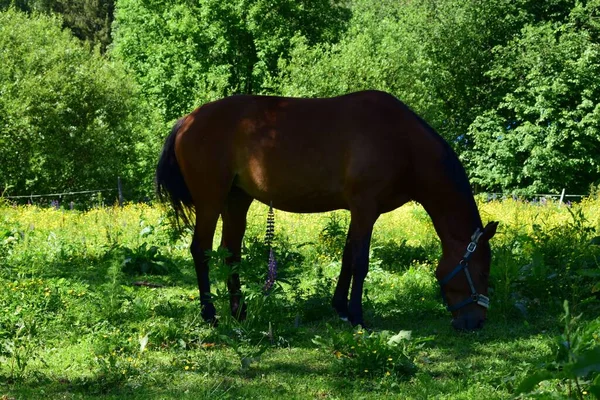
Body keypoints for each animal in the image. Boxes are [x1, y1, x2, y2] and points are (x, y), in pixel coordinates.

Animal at [155, 90, 496, 332]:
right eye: (481, 271)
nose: (476, 322)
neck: (402, 141)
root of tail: (187, 120)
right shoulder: (366, 208)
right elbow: (360, 262)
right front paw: (357, 316)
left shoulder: (359, 211)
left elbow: (347, 257)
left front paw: (341, 308)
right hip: (210, 201)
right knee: (201, 250)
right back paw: (210, 314)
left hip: (237, 200)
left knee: (230, 253)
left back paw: (239, 312)